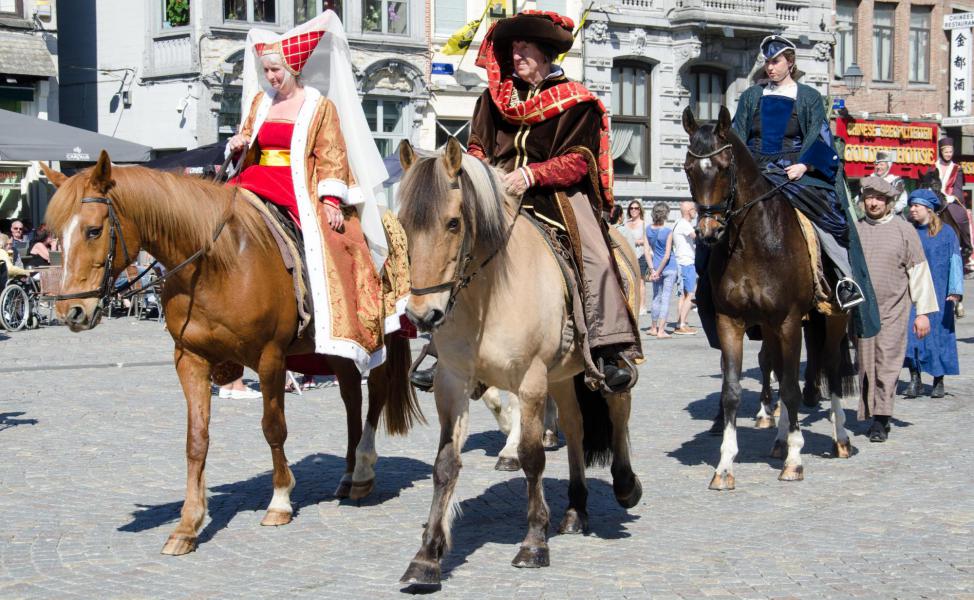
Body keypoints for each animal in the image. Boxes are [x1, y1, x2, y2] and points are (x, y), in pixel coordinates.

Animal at [42, 152, 424, 556]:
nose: (71, 312)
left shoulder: (270, 358)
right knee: (352, 397)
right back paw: (349, 474)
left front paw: (280, 501)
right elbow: (196, 440)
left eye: (93, 231)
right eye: (58, 235)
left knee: (375, 394)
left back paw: (363, 472)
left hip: (375, 338)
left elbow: (273, 427)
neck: (214, 264)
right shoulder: (190, 360)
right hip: (336, 349)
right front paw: (188, 524)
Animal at [392, 137, 644, 592]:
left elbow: (531, 456)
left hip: (609, 363)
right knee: (576, 428)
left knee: (618, 413)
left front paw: (533, 542)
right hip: (563, 375)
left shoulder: (530, 380)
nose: (422, 315)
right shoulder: (453, 381)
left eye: (453, 223)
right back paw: (575, 510)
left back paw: (625, 485)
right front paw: (427, 556)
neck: (489, 293)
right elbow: (445, 464)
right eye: (403, 224)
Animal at [684, 106, 856, 492]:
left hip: (833, 318)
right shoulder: (731, 322)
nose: (708, 232)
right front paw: (724, 466)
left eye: (723, 167)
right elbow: (732, 391)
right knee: (775, 365)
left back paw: (839, 438)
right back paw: (778, 440)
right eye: (688, 168)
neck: (752, 242)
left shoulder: (789, 320)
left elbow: (791, 389)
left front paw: (795, 461)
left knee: (832, 369)